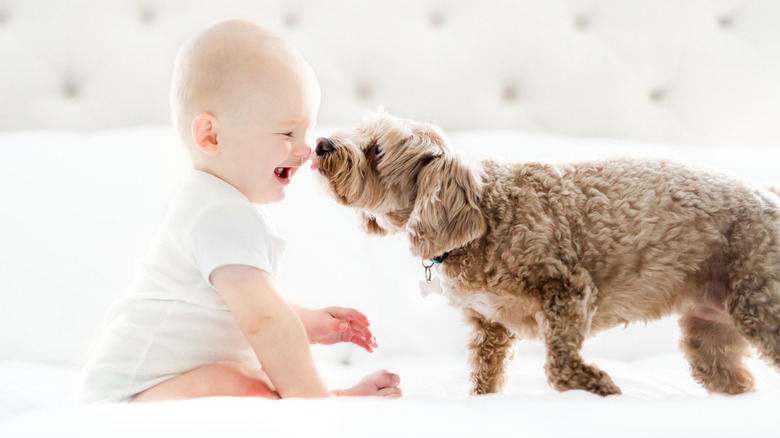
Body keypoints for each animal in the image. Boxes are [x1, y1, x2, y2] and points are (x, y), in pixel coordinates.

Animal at [310, 110, 780, 396]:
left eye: (376, 149)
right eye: (359, 129)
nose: (321, 143)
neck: (485, 214)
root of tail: (768, 195)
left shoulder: (567, 291)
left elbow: (560, 363)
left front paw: (597, 386)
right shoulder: (490, 327)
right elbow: (484, 376)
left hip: (758, 302)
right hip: (709, 330)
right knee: (727, 372)